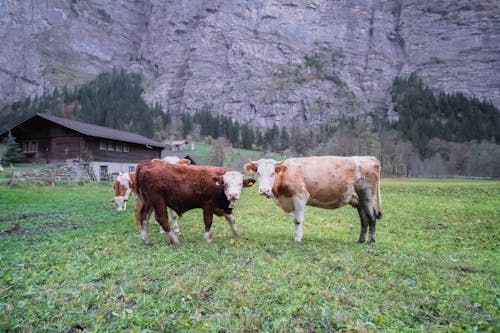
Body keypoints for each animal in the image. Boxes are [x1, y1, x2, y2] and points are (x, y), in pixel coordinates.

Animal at [243, 154, 382, 243]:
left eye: (273, 173)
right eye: (258, 173)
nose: (264, 190)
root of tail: (370, 158)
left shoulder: (301, 196)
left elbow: (298, 220)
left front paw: (297, 239)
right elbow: (294, 219)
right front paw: (296, 235)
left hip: (367, 196)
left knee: (372, 217)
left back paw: (370, 240)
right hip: (359, 201)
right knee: (364, 220)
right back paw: (360, 240)